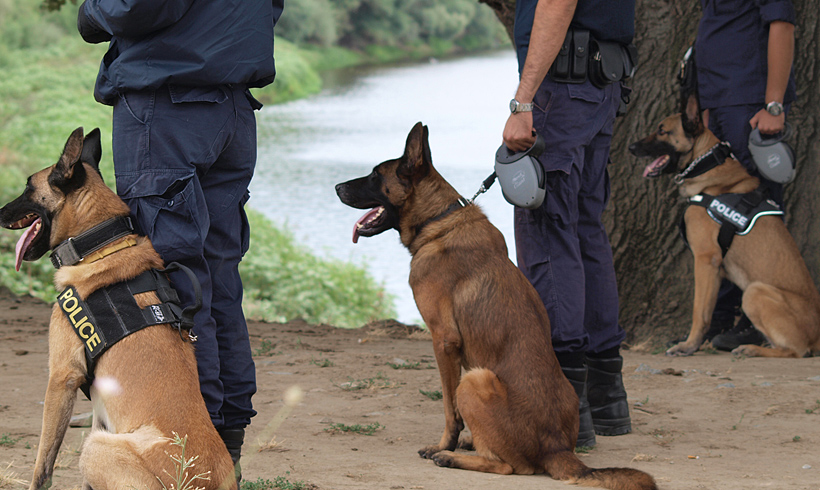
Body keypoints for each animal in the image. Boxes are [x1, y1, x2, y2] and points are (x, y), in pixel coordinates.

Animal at [0, 128, 237, 488]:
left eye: (28, 186)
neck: (100, 244)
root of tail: (197, 479)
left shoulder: (62, 376)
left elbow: (43, 462)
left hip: (95, 447)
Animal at [334, 123, 652, 490]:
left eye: (375, 175)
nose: (337, 187)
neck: (438, 220)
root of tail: (557, 449)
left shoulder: (444, 341)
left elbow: (449, 410)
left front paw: (444, 444)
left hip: (475, 379)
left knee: (510, 467)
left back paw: (453, 456)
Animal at [628, 95, 820, 358]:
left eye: (662, 131)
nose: (631, 148)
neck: (706, 165)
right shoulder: (716, 269)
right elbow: (709, 310)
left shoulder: (705, 259)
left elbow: (698, 311)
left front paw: (688, 346)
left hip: (755, 292)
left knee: (796, 351)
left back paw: (751, 348)